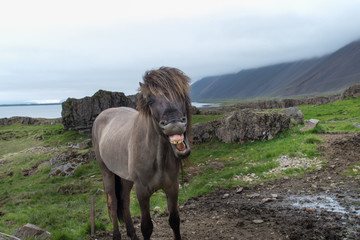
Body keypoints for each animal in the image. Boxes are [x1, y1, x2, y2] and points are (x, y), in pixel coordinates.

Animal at [92, 67, 191, 240]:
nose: (174, 125)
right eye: (150, 100)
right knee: (113, 203)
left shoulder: (172, 187)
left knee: (124, 201)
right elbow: (147, 227)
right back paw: (117, 235)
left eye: (181, 93)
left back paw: (132, 234)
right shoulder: (142, 192)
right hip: (107, 172)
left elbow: (174, 220)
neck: (158, 158)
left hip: (125, 177)